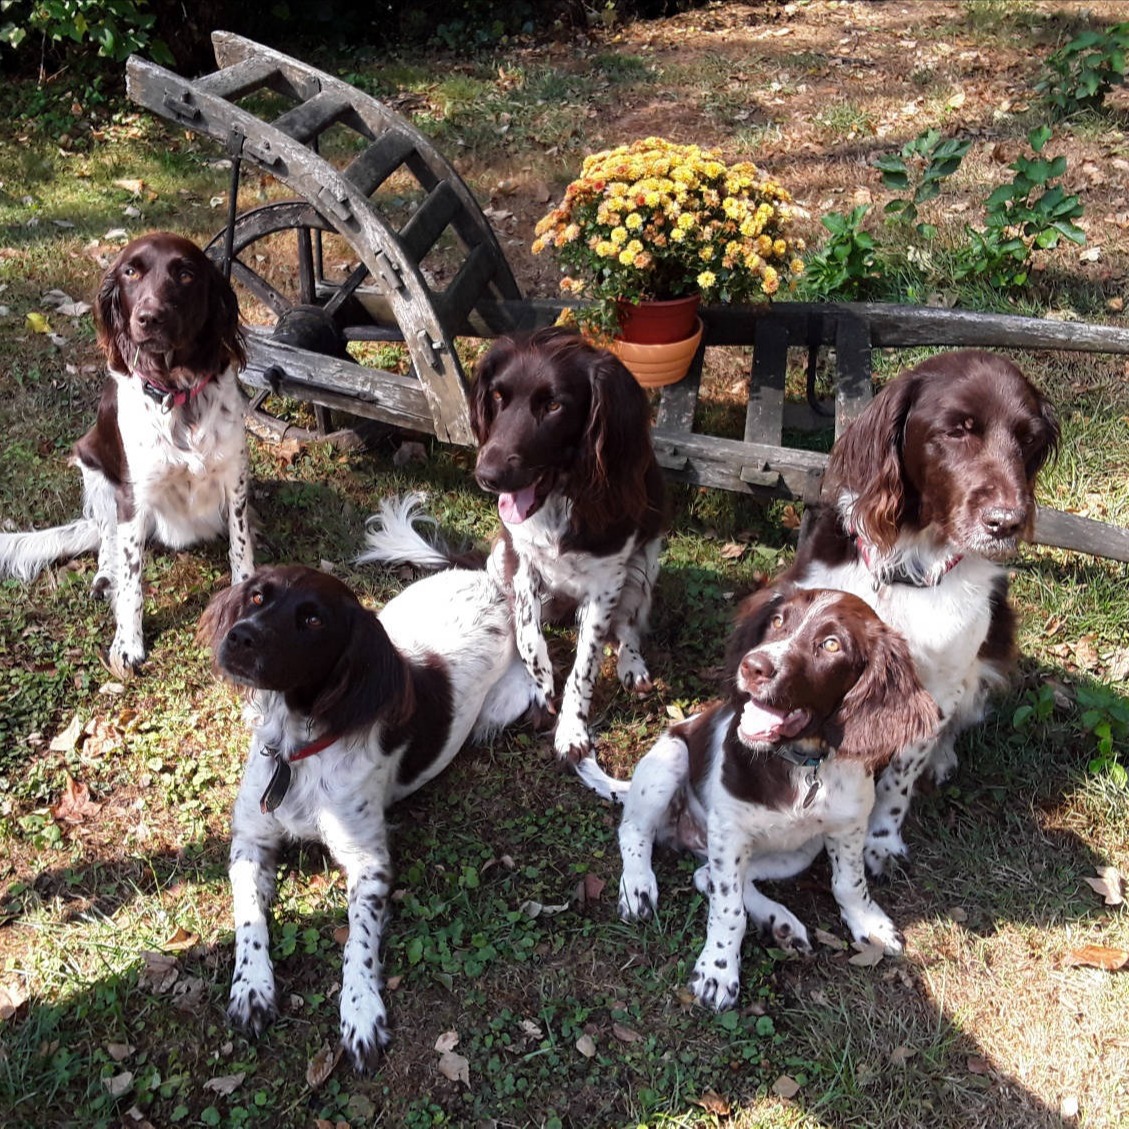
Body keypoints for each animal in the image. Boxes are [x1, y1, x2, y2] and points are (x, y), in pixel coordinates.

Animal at [0, 228, 251, 668]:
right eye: (131, 272)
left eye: (185, 274)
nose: (149, 318)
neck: (176, 394)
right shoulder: (131, 496)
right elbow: (132, 578)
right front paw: (128, 644)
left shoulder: (235, 478)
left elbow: (242, 548)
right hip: (95, 471)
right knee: (106, 540)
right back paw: (106, 577)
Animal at [200, 569, 539, 1070]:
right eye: (258, 597)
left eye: (314, 620)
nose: (239, 637)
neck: (298, 750)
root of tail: (487, 578)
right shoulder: (250, 841)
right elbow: (248, 918)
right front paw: (251, 987)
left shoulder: (369, 860)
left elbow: (356, 941)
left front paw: (361, 1012)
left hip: (507, 701)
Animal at [578, 587, 939, 1011]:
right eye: (778, 621)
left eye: (831, 644)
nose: (753, 667)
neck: (802, 765)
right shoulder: (729, 833)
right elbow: (729, 910)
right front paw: (717, 971)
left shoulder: (848, 825)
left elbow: (849, 883)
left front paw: (870, 923)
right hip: (669, 762)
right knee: (635, 832)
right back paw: (638, 886)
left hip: (797, 852)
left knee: (707, 875)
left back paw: (780, 923)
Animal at [785, 347, 1056, 876]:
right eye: (956, 430)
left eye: (1028, 439)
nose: (1007, 523)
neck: (908, 568)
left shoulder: (936, 687)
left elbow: (898, 777)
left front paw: (881, 842)